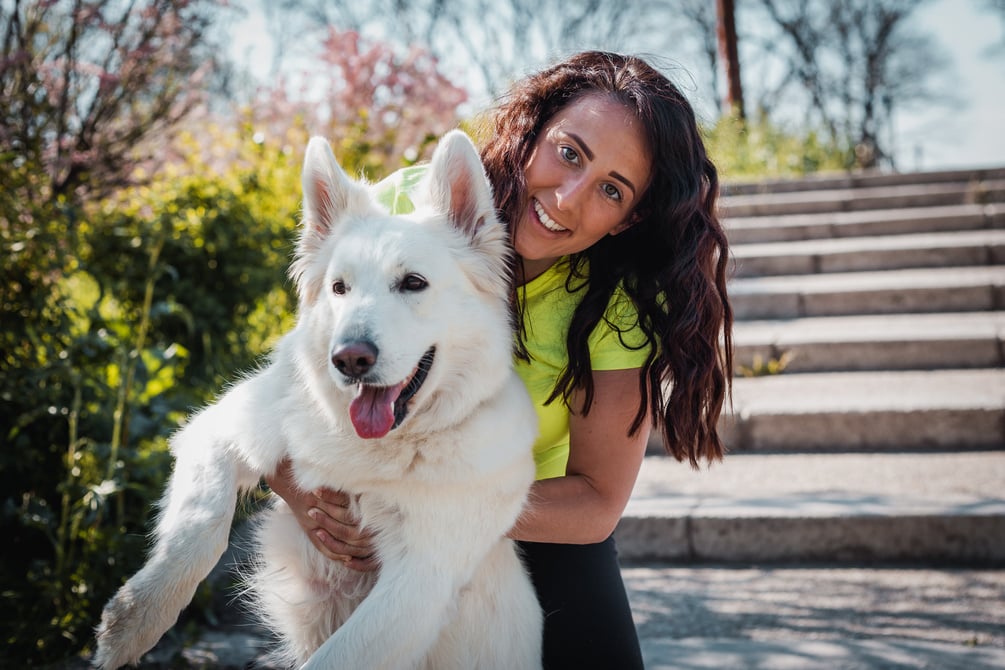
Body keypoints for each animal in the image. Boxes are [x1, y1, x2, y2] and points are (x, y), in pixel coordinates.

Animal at [95, 130, 542, 670]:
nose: (349, 359)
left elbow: (334, 657)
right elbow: (200, 527)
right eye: (338, 288)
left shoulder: (419, 582)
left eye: (413, 283)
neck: (377, 444)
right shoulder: (219, 430)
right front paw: (131, 625)